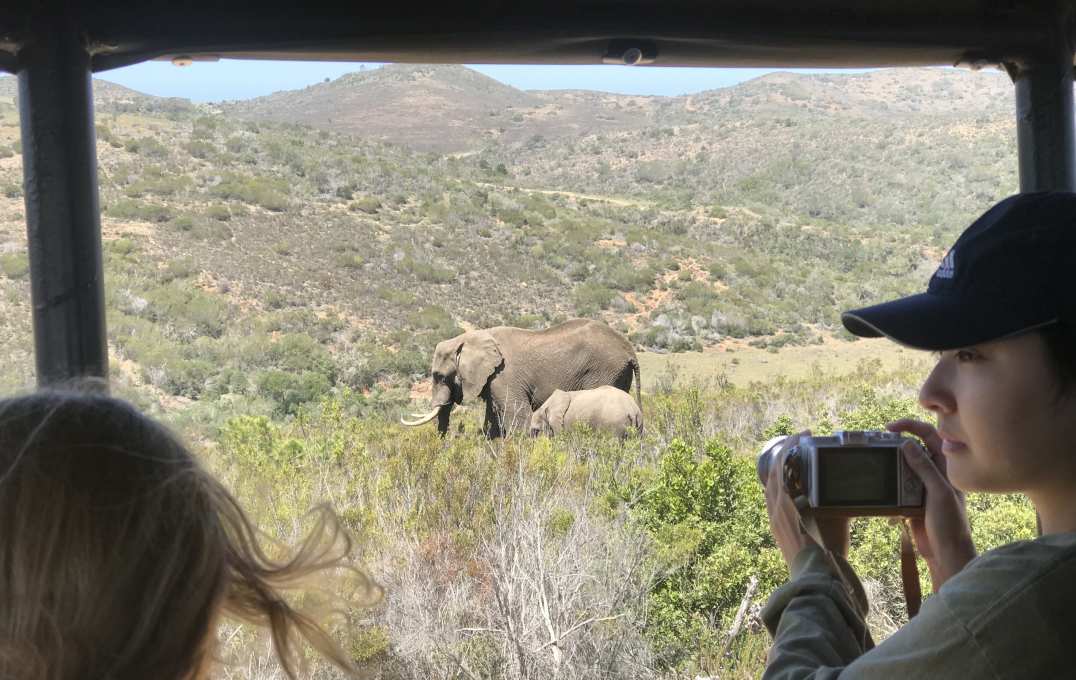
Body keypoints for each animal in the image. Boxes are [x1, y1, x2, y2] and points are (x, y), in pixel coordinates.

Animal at [404, 320, 636, 441]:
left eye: (440, 376)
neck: (471, 338)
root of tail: (629, 350)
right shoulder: (492, 380)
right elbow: (492, 419)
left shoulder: (504, 376)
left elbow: (517, 415)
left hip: (604, 370)